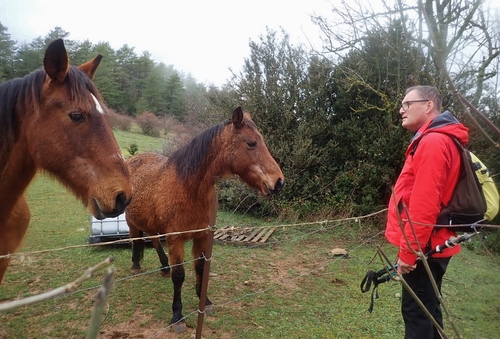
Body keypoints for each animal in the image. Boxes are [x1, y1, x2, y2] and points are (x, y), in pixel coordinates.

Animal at [124, 107, 284, 332]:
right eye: (251, 143)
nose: (279, 182)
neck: (188, 188)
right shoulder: (176, 239)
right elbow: (179, 275)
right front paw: (177, 316)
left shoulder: (201, 236)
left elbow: (201, 268)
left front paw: (205, 302)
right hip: (131, 222)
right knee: (135, 240)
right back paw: (136, 265)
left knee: (154, 240)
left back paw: (163, 267)